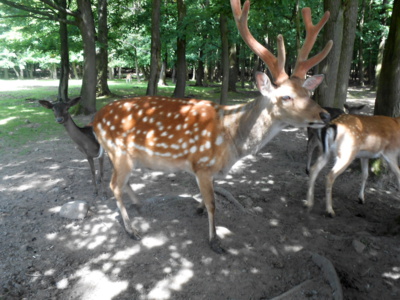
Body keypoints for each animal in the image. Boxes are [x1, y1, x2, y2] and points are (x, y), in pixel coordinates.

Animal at [92, 0, 332, 253]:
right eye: (286, 96)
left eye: (309, 93)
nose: (325, 114)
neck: (231, 141)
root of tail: (94, 120)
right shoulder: (202, 164)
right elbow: (213, 203)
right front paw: (215, 240)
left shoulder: (211, 170)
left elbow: (208, 195)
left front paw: (198, 209)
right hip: (119, 152)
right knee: (114, 186)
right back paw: (132, 230)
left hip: (124, 156)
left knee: (123, 183)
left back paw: (139, 205)